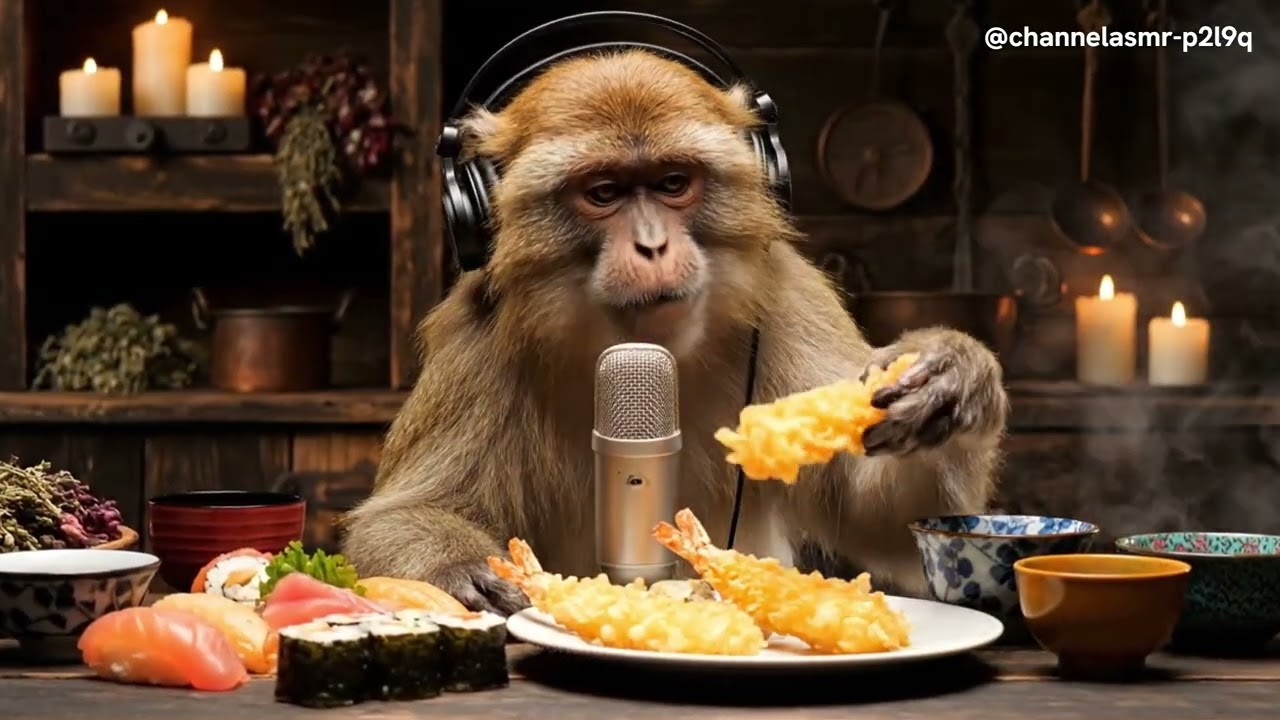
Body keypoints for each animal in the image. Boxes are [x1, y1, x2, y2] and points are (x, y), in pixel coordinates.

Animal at [340, 49, 1008, 615]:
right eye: (604, 192)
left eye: (671, 183)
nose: (652, 245)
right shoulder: (475, 335)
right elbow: (399, 514)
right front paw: (457, 568)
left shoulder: (789, 297)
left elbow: (878, 515)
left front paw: (954, 376)